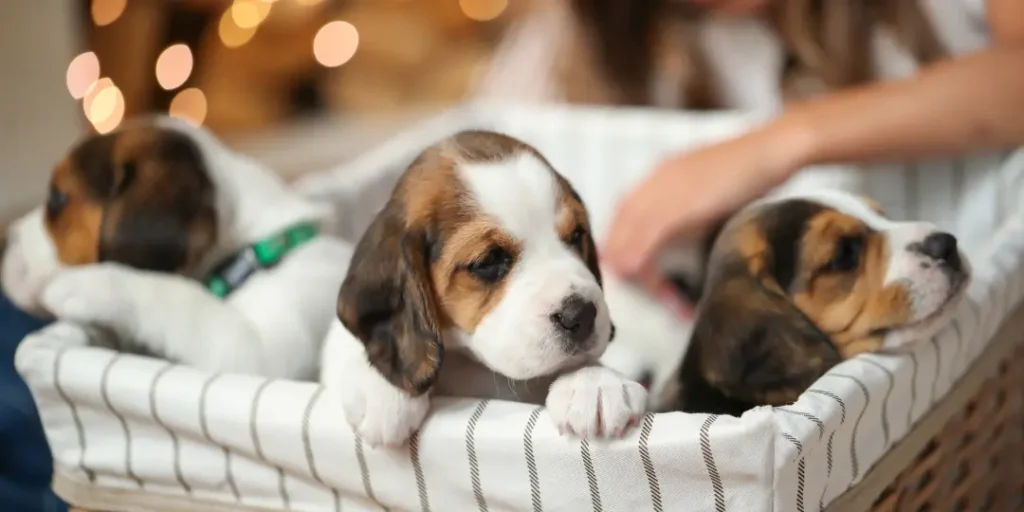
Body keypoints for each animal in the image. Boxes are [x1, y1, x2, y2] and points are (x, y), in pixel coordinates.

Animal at [1, 116, 352, 380]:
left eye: (57, 199)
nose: (5, 241)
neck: (254, 253)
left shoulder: (259, 353)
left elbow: (176, 297)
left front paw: (86, 284)